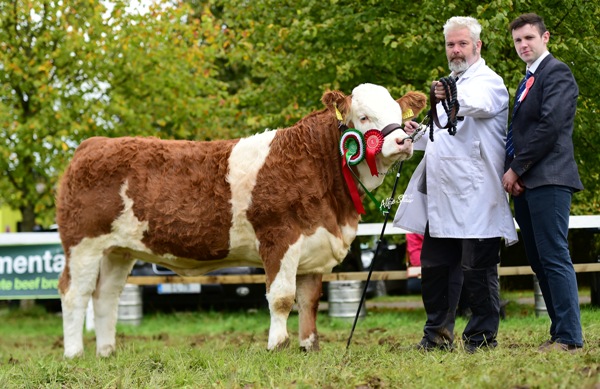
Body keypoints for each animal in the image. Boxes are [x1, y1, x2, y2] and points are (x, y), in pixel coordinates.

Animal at [56, 83, 426, 356]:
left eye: (399, 114)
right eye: (363, 117)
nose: (403, 140)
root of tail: (92, 144)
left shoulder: (314, 244)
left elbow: (308, 300)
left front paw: (309, 346)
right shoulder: (280, 237)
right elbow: (282, 297)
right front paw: (277, 345)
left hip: (117, 250)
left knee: (106, 295)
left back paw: (107, 352)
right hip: (83, 244)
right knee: (75, 293)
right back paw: (75, 354)